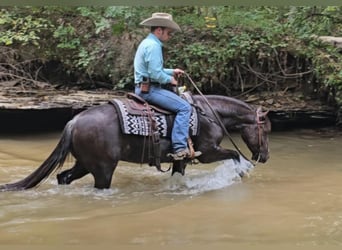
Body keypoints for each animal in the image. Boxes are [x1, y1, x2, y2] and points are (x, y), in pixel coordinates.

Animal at [0, 93, 272, 190]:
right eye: (267, 130)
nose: (265, 157)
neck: (210, 113)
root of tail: (74, 122)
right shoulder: (207, 152)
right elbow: (235, 155)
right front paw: (241, 172)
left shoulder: (182, 159)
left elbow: (178, 175)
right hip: (102, 168)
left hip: (84, 163)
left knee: (63, 177)